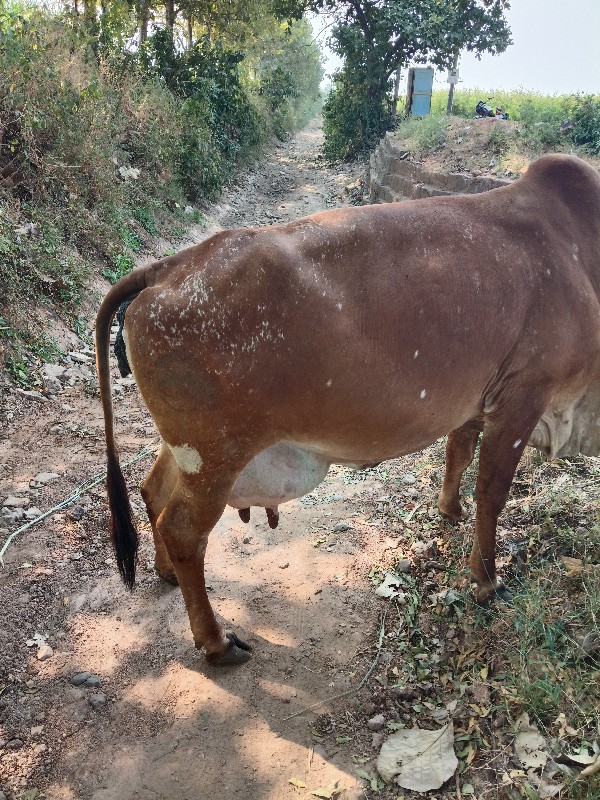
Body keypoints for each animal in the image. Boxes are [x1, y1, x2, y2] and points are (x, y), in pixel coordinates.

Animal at [95, 153, 600, 664]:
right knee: (182, 530)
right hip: (215, 455)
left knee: (152, 491)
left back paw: (165, 572)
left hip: (186, 449)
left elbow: (458, 454)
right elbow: (492, 494)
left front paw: (450, 511)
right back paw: (216, 642)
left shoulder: (480, 399)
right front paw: (486, 581)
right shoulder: (524, 395)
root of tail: (167, 268)